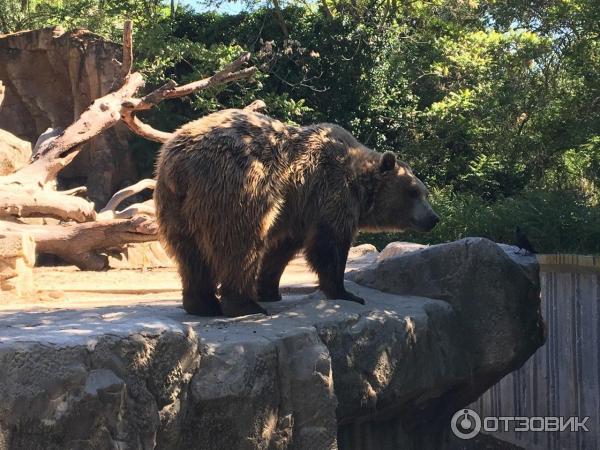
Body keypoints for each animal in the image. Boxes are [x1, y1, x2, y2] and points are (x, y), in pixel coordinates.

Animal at [154, 108, 436, 316]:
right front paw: (347, 293)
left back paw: (202, 305)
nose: (433, 218)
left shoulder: (298, 210)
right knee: (239, 246)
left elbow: (282, 249)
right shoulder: (330, 192)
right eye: (413, 191)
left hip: (175, 206)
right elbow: (329, 245)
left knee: (189, 254)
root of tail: (180, 166)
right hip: (237, 188)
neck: (359, 185)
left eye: (424, 191)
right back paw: (244, 305)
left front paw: (270, 289)